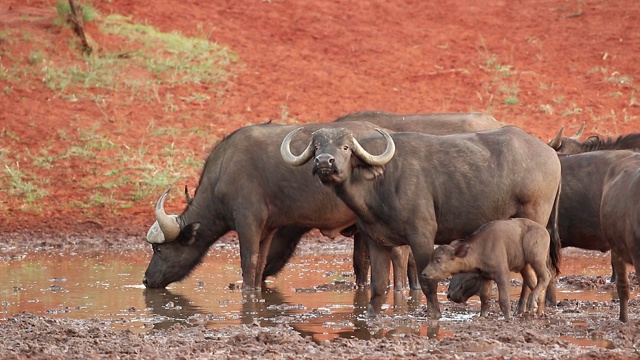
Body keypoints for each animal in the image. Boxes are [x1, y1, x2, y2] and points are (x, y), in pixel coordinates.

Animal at [142, 112, 502, 290]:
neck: (224, 172)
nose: (146, 279)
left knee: (400, 258)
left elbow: (248, 262)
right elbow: (259, 264)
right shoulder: (269, 228)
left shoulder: (248, 221)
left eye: (159, 250)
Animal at [422, 218, 552, 320]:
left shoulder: (502, 274)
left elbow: (504, 300)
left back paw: (532, 301)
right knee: (534, 281)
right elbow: (484, 297)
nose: (424, 274)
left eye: (438, 260)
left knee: (546, 275)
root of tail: (544, 231)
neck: (481, 249)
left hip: (535, 257)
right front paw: (482, 315)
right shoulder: (484, 276)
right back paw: (538, 309)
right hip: (525, 266)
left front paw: (507, 317)